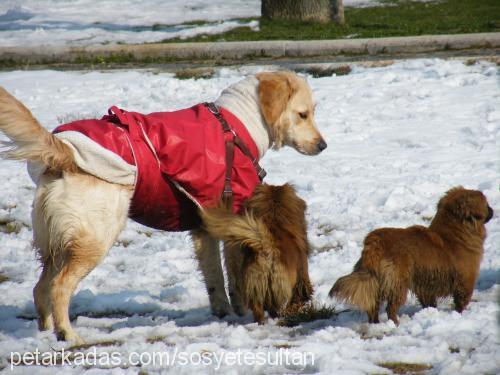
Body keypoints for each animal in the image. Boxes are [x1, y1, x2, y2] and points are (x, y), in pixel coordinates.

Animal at [328, 188, 492, 326]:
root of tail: (375, 242)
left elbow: (429, 302)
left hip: (376, 282)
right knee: (390, 308)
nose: (492, 210)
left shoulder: (426, 286)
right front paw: (460, 314)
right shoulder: (466, 280)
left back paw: (375, 324)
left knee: (373, 307)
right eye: (486, 204)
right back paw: (395, 324)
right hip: (398, 284)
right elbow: (461, 301)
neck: (454, 234)